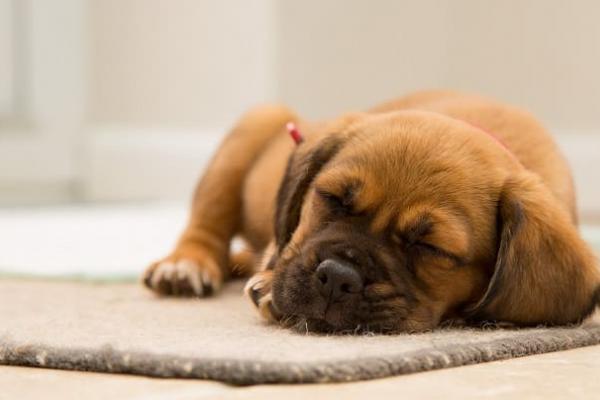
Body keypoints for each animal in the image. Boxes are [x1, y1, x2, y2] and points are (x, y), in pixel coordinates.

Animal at [142, 91, 600, 334]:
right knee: (207, 225)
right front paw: (270, 282)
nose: (337, 278)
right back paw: (186, 264)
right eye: (332, 199)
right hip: (254, 128)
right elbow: (283, 247)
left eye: (430, 247)